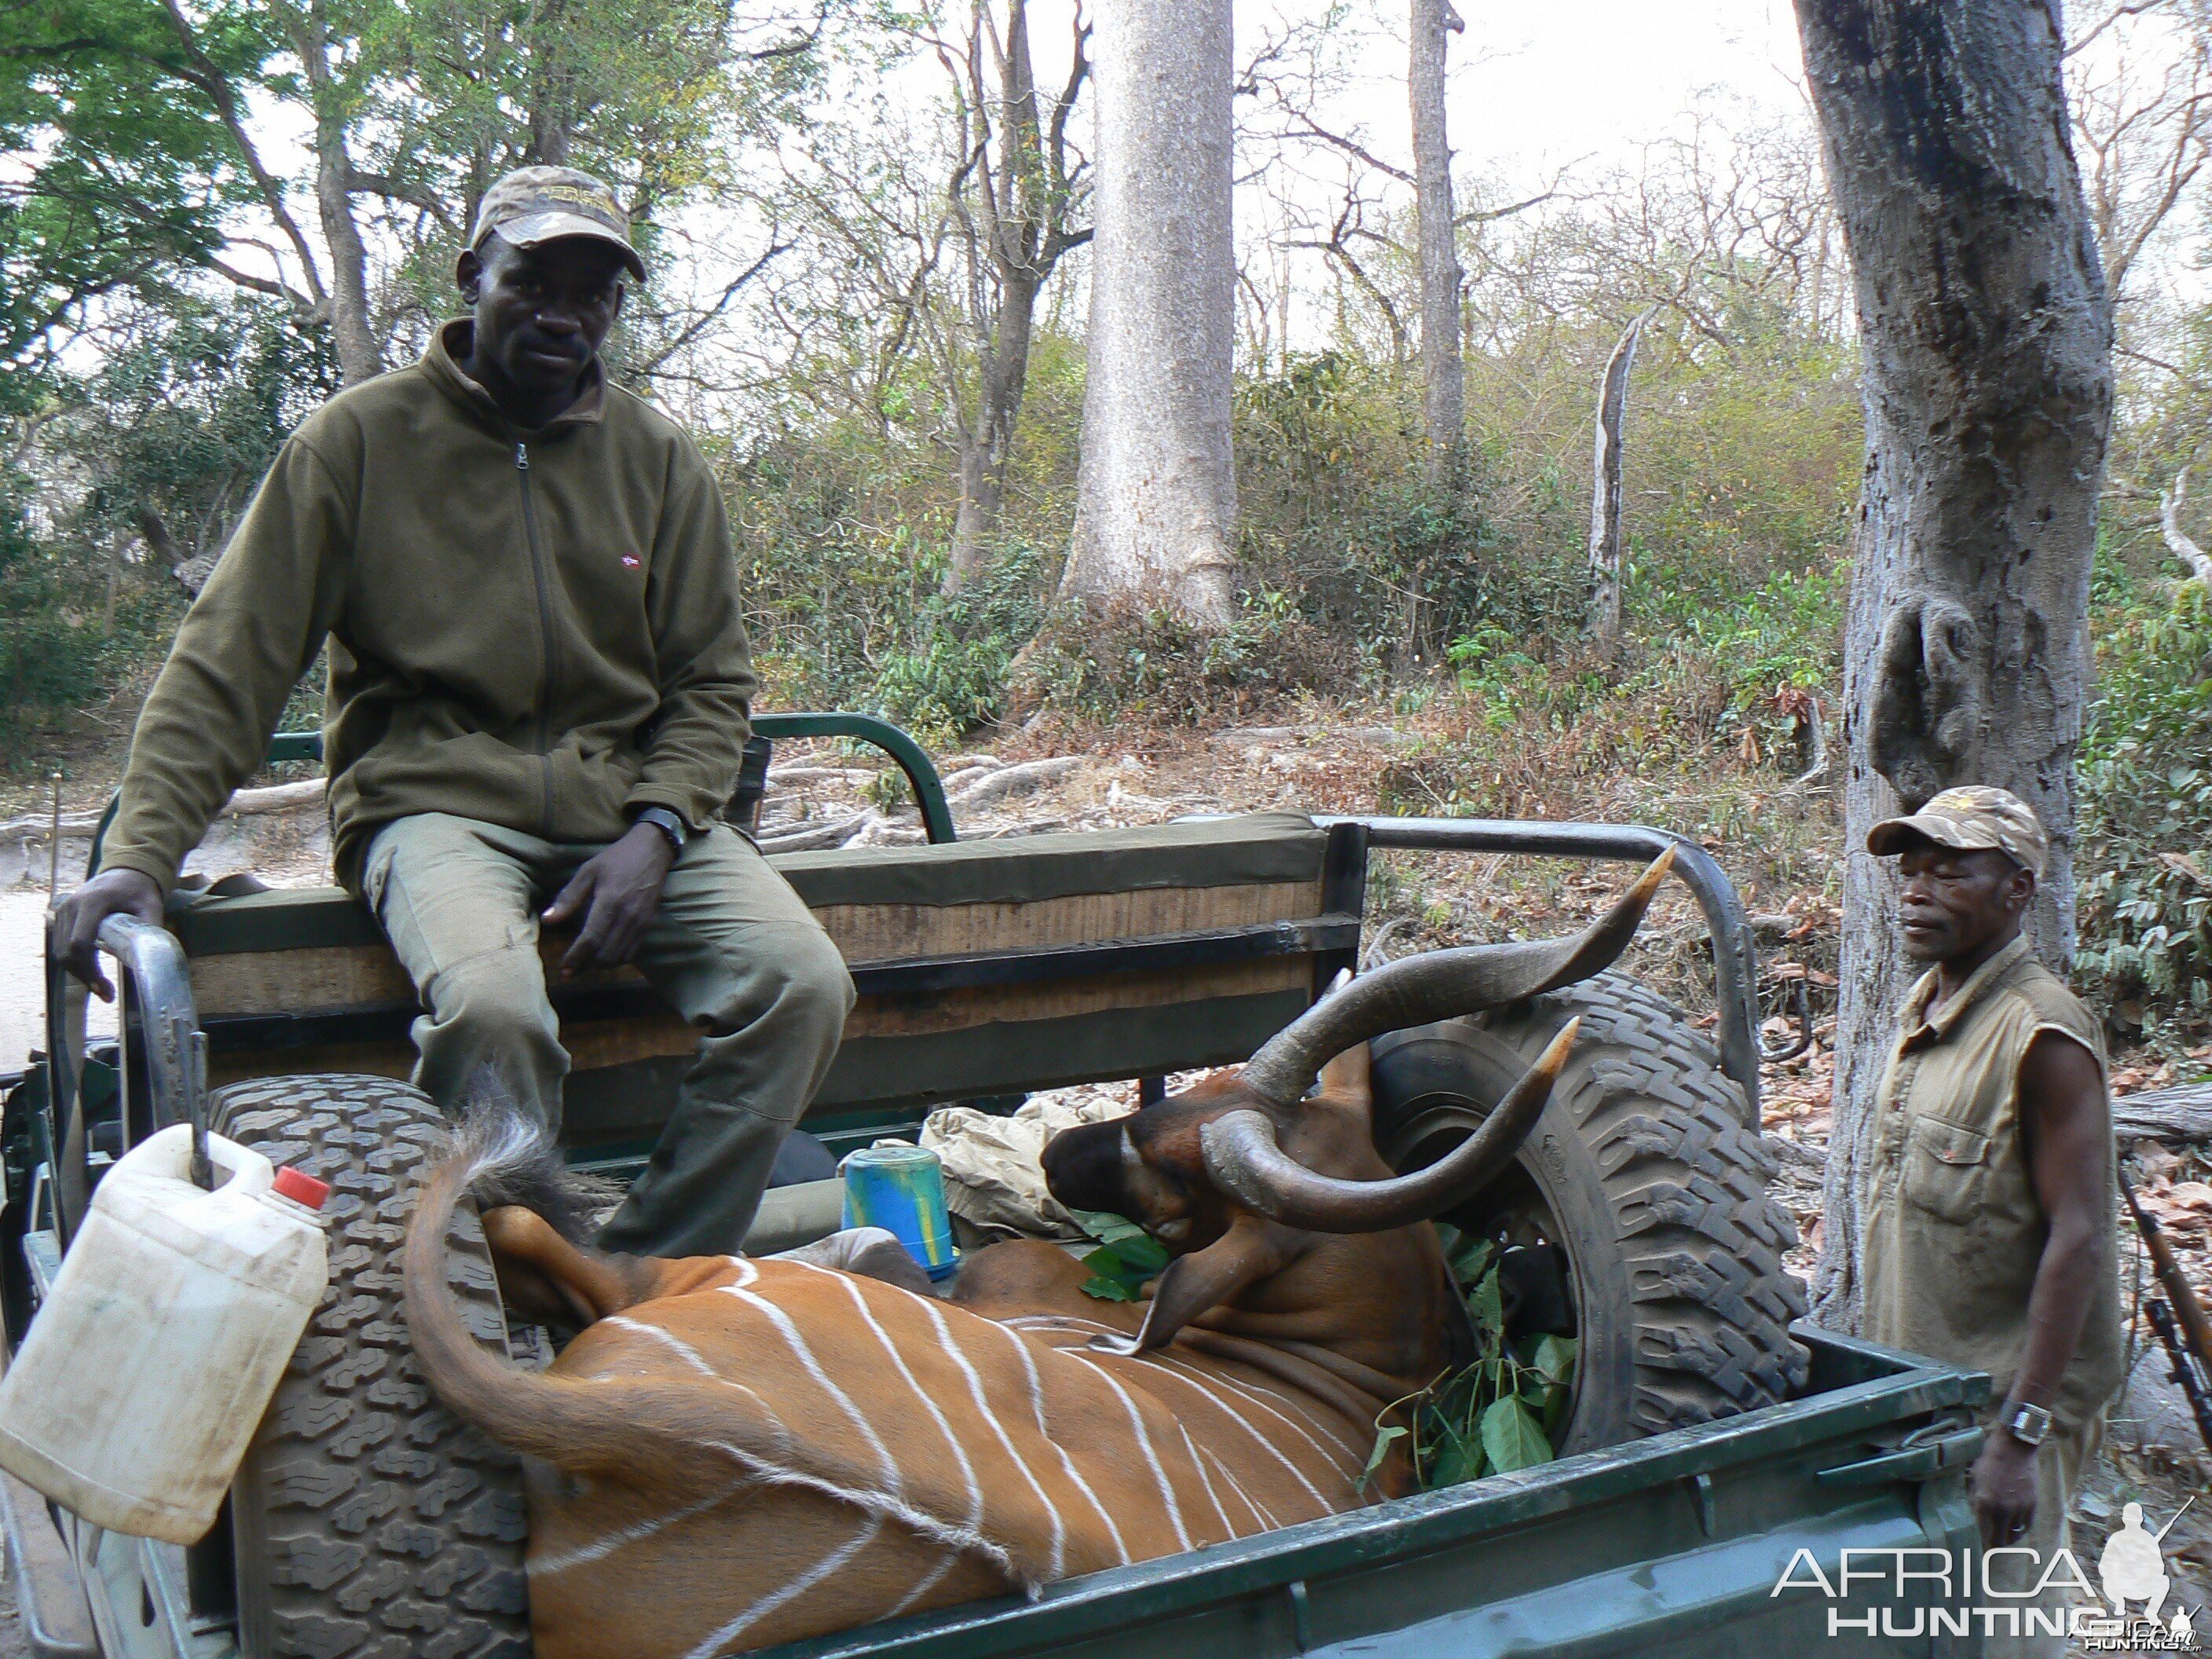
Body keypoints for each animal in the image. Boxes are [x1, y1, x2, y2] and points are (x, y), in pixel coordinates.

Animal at [402, 858, 1672, 1659]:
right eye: (1204, 1083)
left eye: (1174, 1186)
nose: (1061, 1154)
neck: (1336, 1386)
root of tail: (656, 1429)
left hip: (673, 1281)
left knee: (542, 1238)